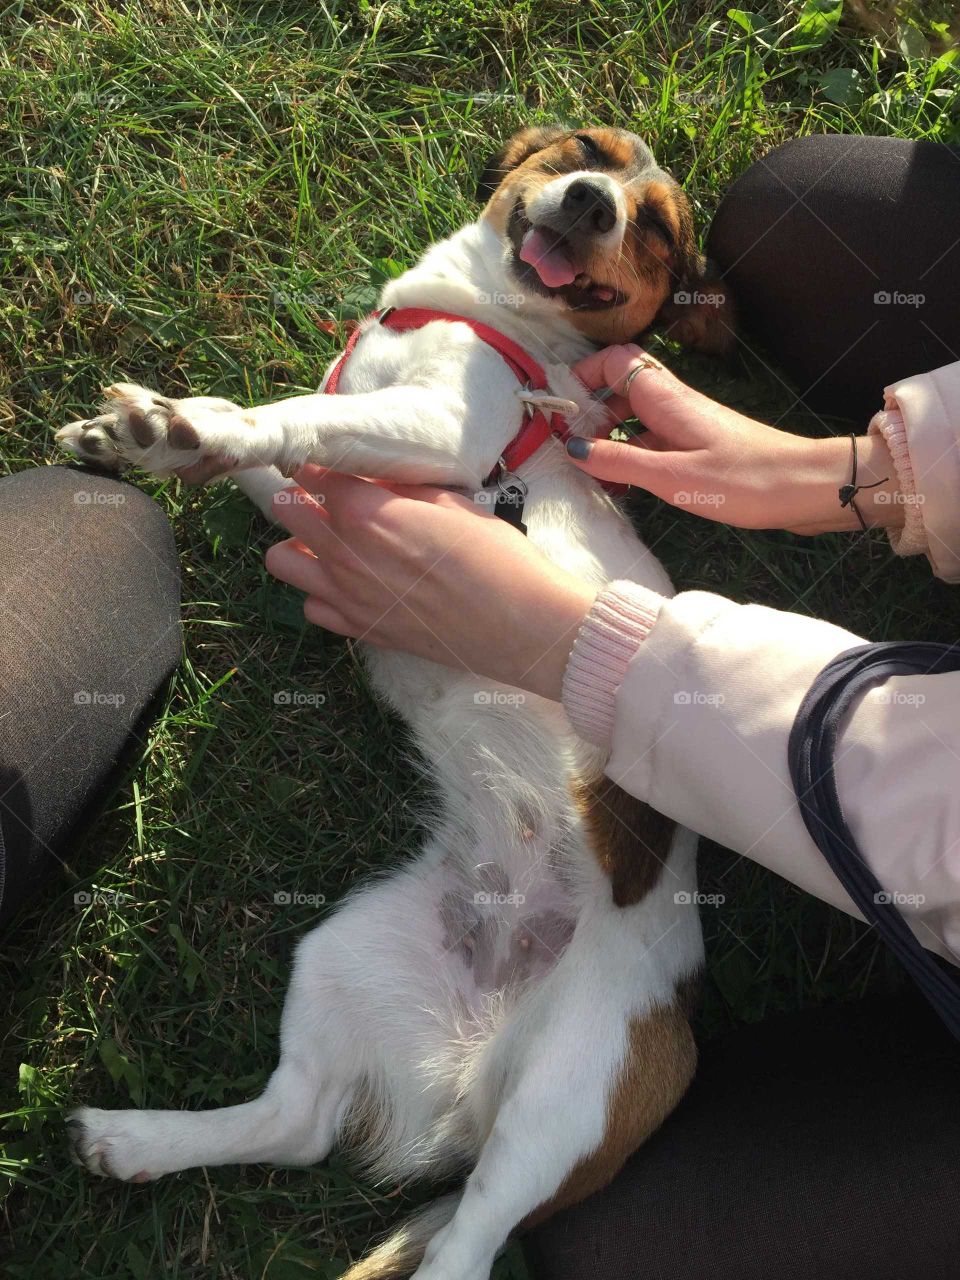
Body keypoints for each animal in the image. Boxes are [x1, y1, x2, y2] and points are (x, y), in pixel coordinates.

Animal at [60, 122, 732, 1280]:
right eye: (588, 148)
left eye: (654, 227)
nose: (592, 201)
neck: (483, 313)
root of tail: (478, 1060)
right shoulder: (315, 494)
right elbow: (293, 442)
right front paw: (153, 439)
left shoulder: (443, 428)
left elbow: (297, 416)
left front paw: (184, 433)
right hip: (343, 954)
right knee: (297, 1124)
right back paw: (136, 1140)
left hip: (565, 1095)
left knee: (464, 1246)